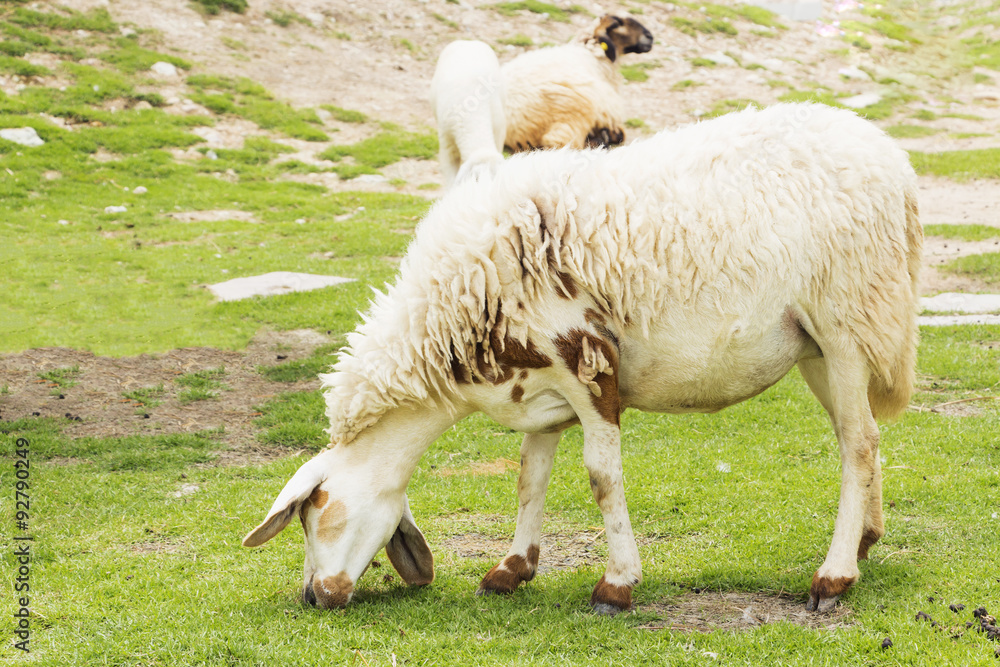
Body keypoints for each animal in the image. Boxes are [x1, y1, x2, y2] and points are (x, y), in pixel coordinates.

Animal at [243, 103, 923, 616]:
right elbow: (530, 474)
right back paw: (865, 541)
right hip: (815, 345)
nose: (314, 597)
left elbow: (600, 475)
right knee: (857, 434)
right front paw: (511, 569)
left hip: (847, 320)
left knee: (858, 441)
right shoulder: (539, 382)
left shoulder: (586, 360)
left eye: (316, 514)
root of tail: (894, 160)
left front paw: (616, 585)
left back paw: (833, 576)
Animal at [502, 14, 653, 152]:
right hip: (577, 109)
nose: (650, 37)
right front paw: (608, 134)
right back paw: (599, 141)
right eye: (617, 23)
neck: (594, 54)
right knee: (562, 143)